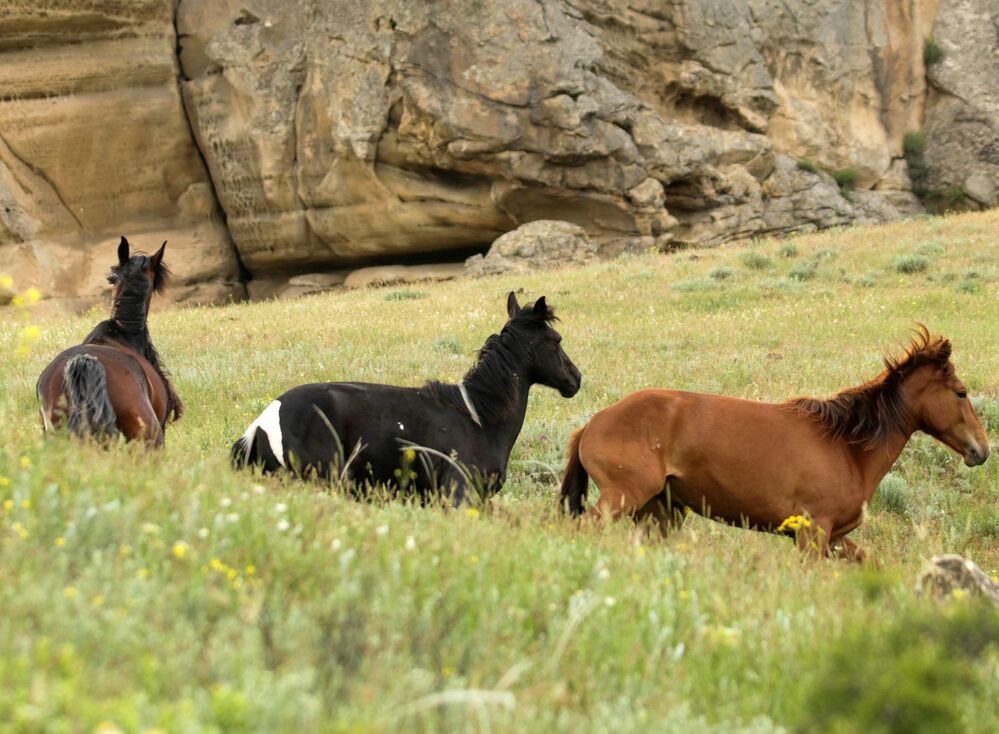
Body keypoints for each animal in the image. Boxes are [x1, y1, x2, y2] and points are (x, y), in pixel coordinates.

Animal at [560, 327, 990, 560]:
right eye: (961, 393)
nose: (982, 450)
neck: (847, 448)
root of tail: (591, 425)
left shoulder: (835, 539)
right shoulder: (813, 534)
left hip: (660, 513)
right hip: (623, 498)